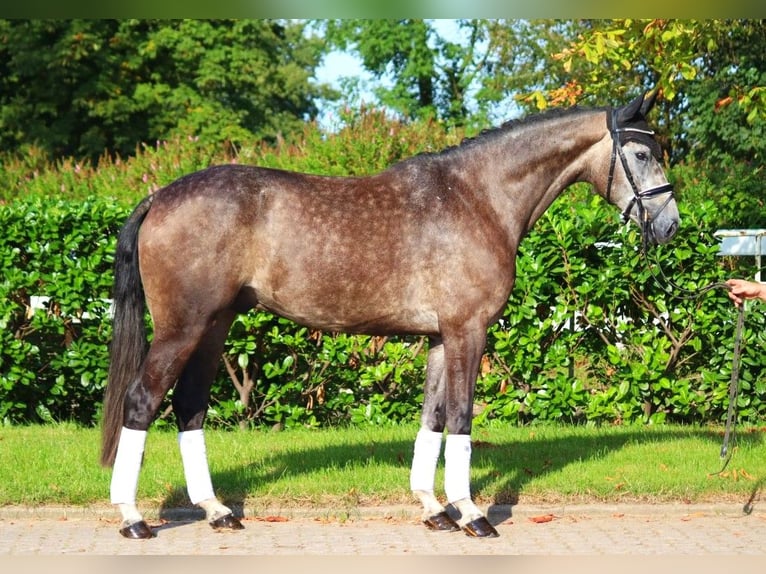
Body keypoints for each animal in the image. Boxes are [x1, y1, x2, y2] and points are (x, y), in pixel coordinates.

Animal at [100, 92, 680, 544]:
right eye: (640, 152)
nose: (670, 226)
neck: (478, 198)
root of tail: (159, 196)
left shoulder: (441, 337)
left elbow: (433, 418)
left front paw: (435, 509)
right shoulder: (468, 330)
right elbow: (462, 418)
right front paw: (472, 515)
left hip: (214, 326)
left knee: (189, 406)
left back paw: (218, 512)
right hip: (182, 329)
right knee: (143, 401)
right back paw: (133, 519)